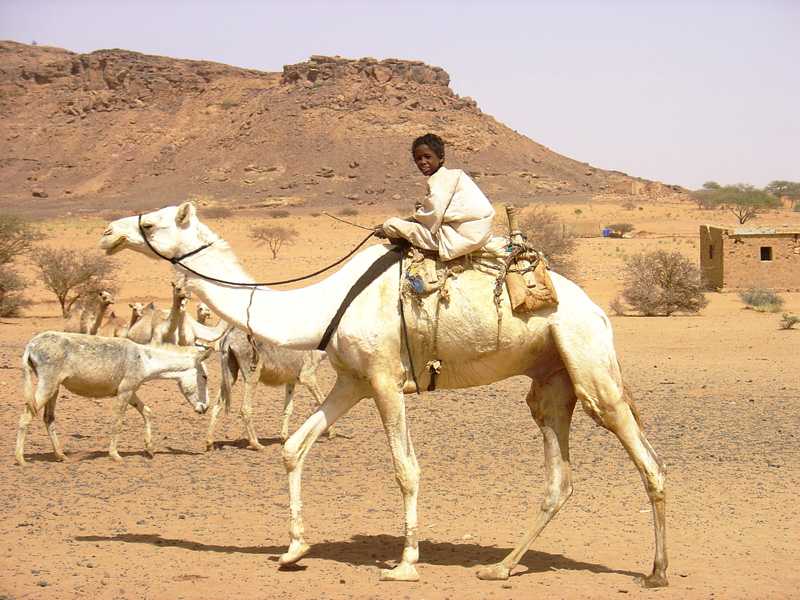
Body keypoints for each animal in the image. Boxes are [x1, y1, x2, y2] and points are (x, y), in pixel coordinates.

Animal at [16, 331, 212, 465]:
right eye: (205, 377)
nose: (205, 408)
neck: (145, 359)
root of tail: (31, 345)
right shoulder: (125, 392)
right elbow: (117, 422)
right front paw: (115, 455)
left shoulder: (131, 391)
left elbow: (147, 412)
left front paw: (149, 449)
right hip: (47, 385)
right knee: (25, 416)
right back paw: (20, 459)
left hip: (54, 388)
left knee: (48, 418)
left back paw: (60, 455)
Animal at [100, 202, 668, 587]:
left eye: (154, 223)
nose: (108, 231)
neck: (321, 304)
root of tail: (598, 311)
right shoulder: (351, 380)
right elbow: (295, 447)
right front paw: (293, 549)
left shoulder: (384, 379)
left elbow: (405, 468)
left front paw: (405, 564)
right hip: (550, 382)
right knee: (559, 479)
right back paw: (501, 567)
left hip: (588, 362)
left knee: (647, 460)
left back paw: (656, 571)